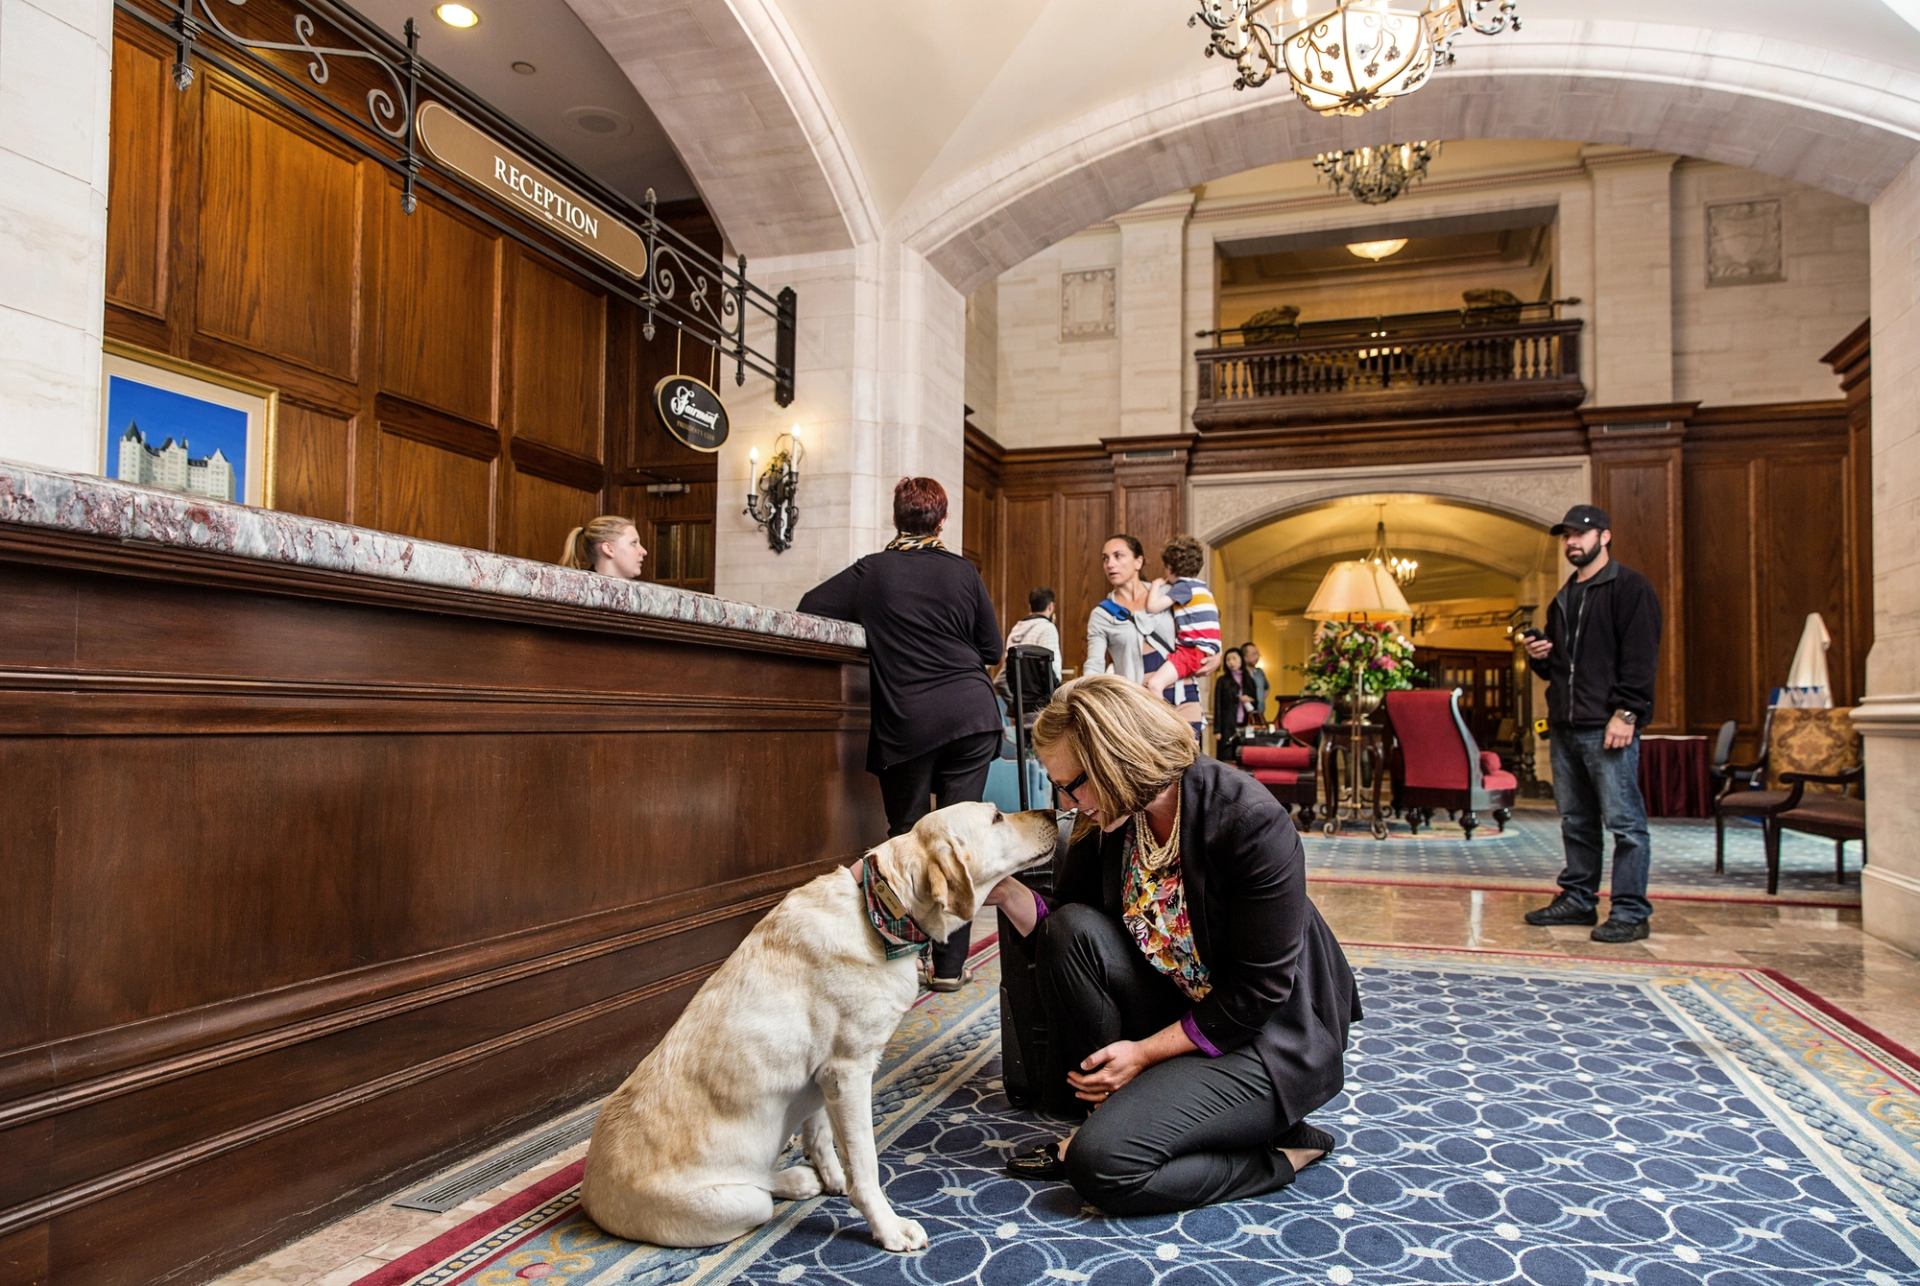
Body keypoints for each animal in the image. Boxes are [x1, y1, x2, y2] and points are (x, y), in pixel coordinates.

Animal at [583, 806, 1067, 1259]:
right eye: (997, 816)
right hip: (732, 1204)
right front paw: (887, 1227)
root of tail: (589, 1195)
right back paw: (794, 1181)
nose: (1052, 811)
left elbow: (819, 1134)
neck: (879, 912)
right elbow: (865, 1165)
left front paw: (833, 1174)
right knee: (758, 1191)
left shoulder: (822, 1078)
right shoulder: (848, 1071)